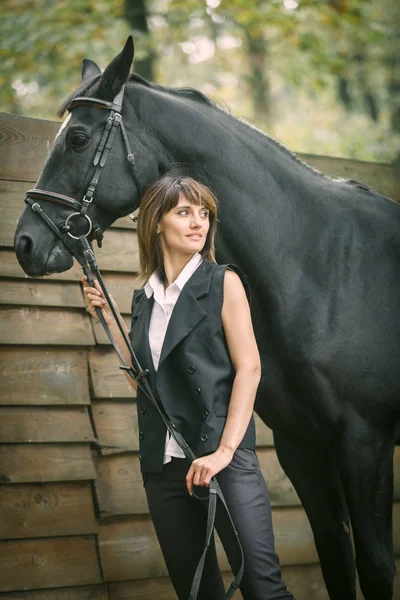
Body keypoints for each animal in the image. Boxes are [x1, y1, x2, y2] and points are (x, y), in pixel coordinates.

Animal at [14, 38, 398, 600]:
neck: (322, 266)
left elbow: (374, 565)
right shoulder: (303, 446)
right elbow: (335, 557)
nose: (24, 243)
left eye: (79, 139)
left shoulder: (364, 443)